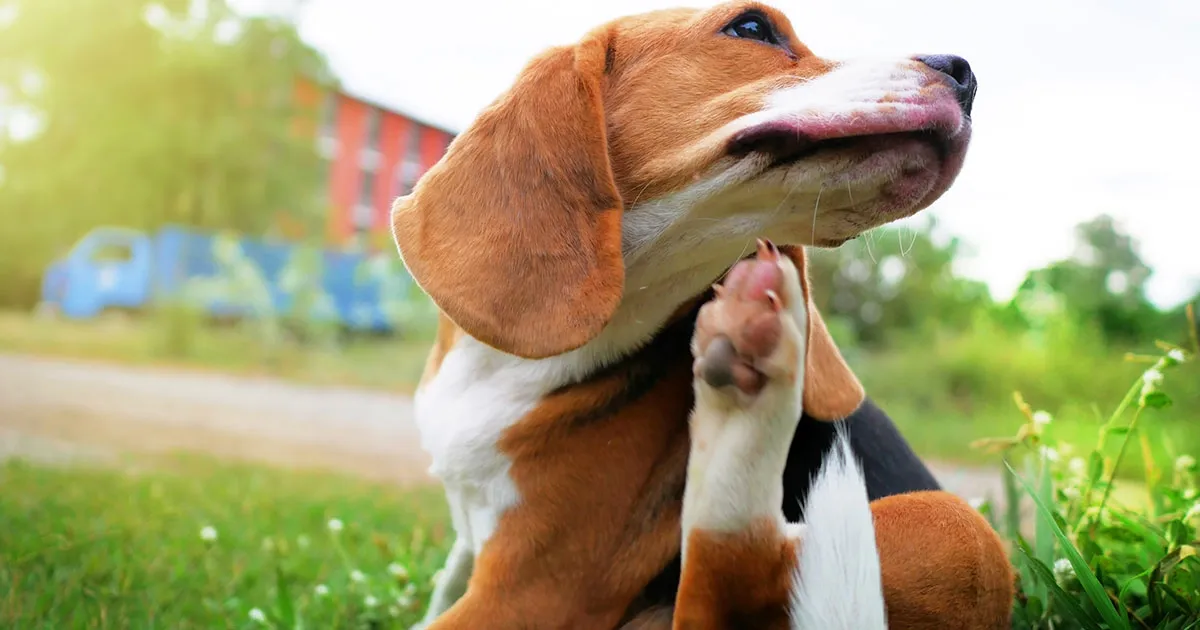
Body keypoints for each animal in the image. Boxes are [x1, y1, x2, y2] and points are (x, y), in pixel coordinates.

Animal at [391, 2, 1012, 624]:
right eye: (751, 27)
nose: (966, 74)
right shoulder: (482, 556)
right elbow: (442, 590)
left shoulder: (533, 594)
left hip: (957, 527)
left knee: (730, 586)